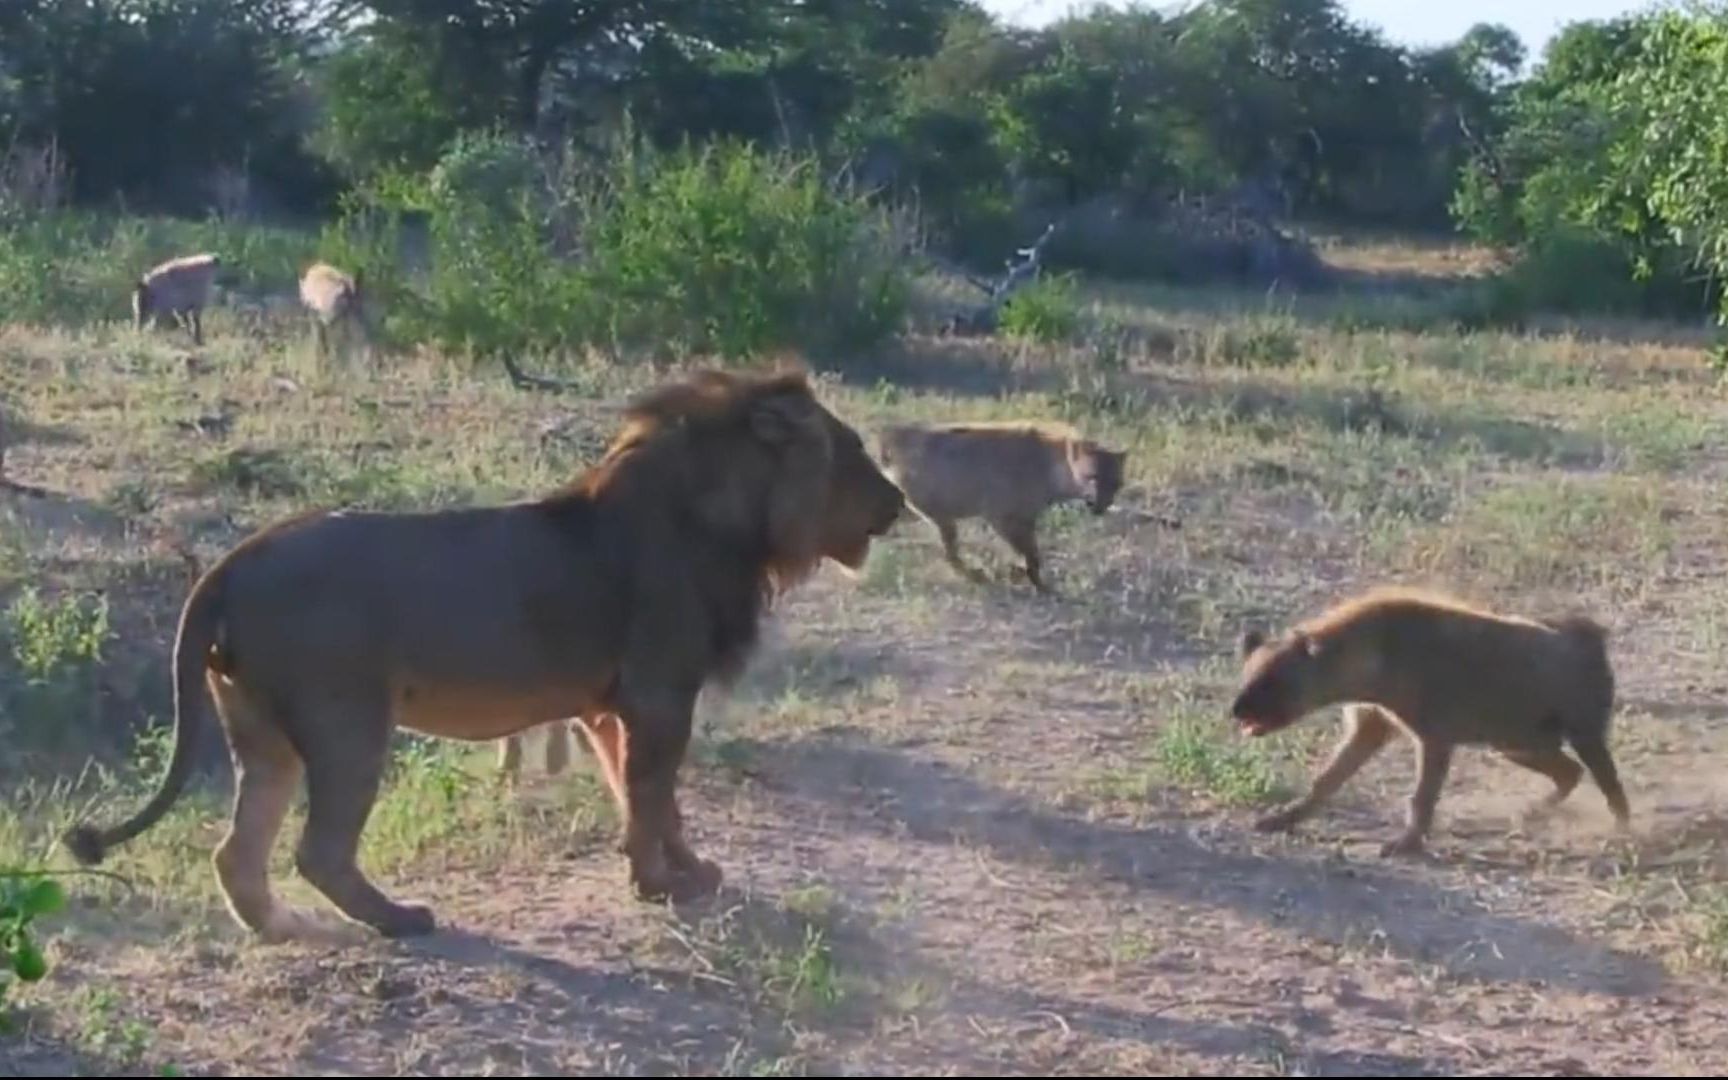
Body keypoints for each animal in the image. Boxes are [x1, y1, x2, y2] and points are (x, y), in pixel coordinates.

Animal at [60, 366, 905, 940]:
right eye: (855, 449)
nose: (900, 502)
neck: (735, 525)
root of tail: (232, 562)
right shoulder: (660, 694)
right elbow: (655, 794)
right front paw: (663, 885)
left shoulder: (610, 707)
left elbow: (641, 795)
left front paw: (676, 872)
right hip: (346, 722)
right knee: (318, 849)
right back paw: (399, 920)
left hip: (263, 731)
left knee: (238, 851)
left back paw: (287, 929)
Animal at [877, 419, 1133, 590]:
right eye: (1092, 477)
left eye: (1116, 483)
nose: (1101, 505)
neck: (1049, 466)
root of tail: (893, 436)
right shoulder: (1000, 516)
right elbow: (1030, 555)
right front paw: (1035, 582)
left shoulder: (1026, 517)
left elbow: (1030, 554)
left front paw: (1019, 573)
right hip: (941, 516)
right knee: (950, 554)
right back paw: (975, 575)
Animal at [1237, 584, 1624, 853]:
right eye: (1247, 675)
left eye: (1272, 682)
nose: (1236, 710)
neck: (1374, 659)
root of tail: (1594, 638)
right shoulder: (1373, 722)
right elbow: (1329, 777)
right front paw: (1282, 818)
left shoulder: (1434, 733)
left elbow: (1422, 795)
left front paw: (1406, 844)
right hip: (1517, 742)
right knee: (1569, 770)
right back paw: (1532, 812)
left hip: (1580, 731)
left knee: (1608, 783)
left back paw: (1623, 831)